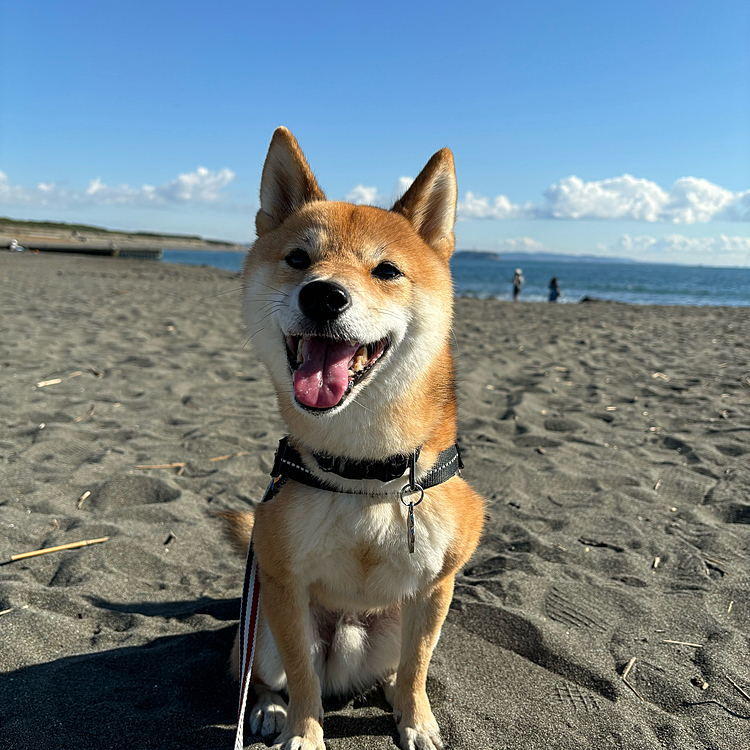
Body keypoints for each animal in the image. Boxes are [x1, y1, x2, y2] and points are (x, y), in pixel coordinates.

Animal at [226, 129, 488, 750]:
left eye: (386, 270)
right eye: (299, 259)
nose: (323, 295)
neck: (363, 469)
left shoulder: (436, 586)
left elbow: (418, 666)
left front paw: (416, 720)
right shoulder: (283, 582)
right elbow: (301, 675)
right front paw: (303, 731)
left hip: (391, 622)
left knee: (397, 663)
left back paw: (389, 690)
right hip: (260, 625)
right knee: (265, 675)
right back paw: (268, 709)